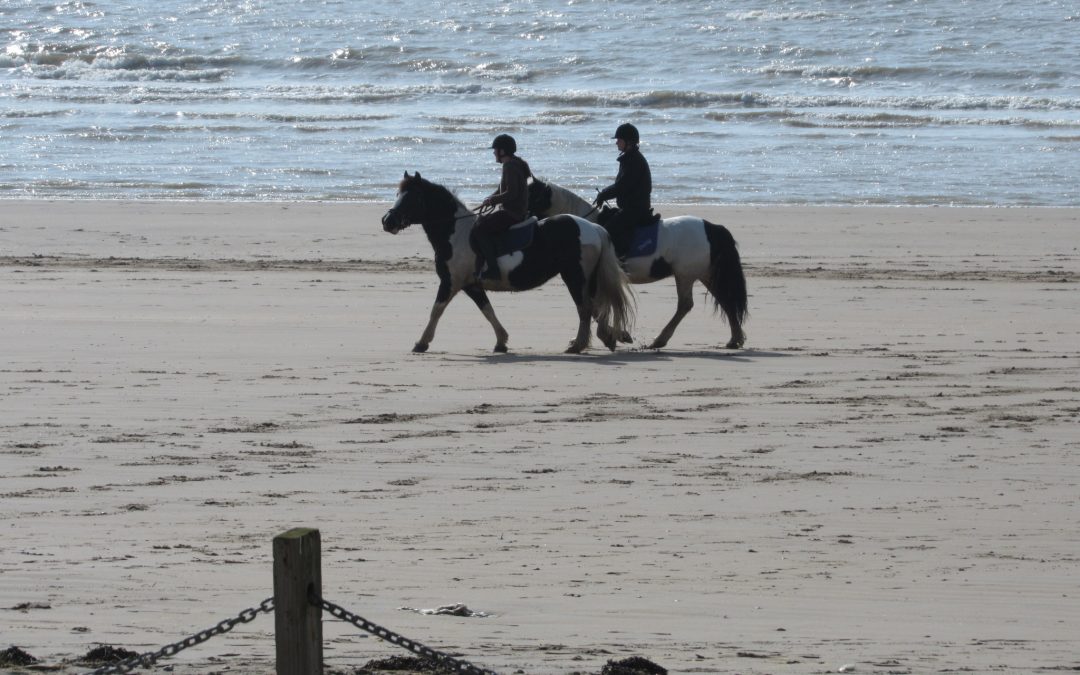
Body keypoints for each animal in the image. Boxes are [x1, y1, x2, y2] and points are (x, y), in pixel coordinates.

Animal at [382, 170, 635, 356]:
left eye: (411, 198)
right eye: (397, 194)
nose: (387, 221)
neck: (457, 233)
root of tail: (593, 227)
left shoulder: (451, 283)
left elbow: (436, 310)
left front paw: (421, 343)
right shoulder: (471, 285)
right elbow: (487, 310)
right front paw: (501, 341)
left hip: (575, 276)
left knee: (585, 308)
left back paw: (579, 345)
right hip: (585, 278)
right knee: (594, 307)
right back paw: (607, 337)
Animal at [527, 176, 747, 349]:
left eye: (533, 196)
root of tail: (712, 228)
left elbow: (595, 307)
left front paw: (616, 335)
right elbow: (596, 307)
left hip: (685, 275)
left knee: (686, 304)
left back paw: (660, 340)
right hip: (704, 274)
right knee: (725, 299)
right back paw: (735, 339)